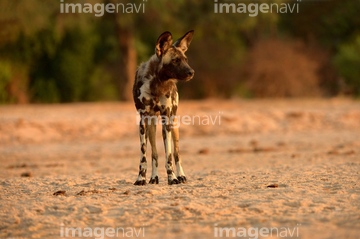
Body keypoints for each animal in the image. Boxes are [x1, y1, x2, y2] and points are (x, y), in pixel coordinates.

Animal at [132, 29, 194, 186]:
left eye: (185, 59)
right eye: (175, 60)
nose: (191, 72)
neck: (156, 84)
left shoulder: (166, 119)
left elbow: (169, 156)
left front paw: (172, 178)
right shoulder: (143, 120)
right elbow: (144, 155)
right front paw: (141, 178)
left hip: (173, 123)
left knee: (177, 154)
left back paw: (181, 176)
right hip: (152, 125)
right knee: (154, 153)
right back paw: (154, 177)